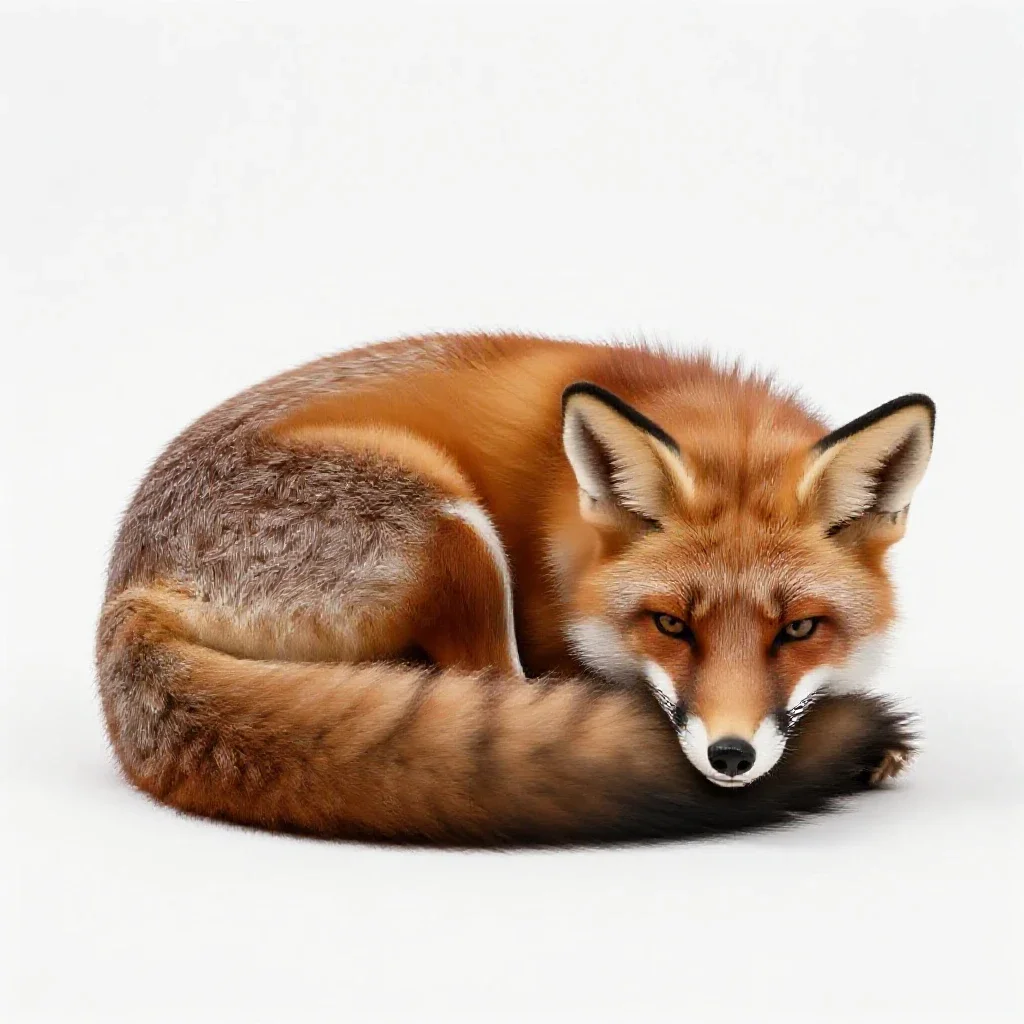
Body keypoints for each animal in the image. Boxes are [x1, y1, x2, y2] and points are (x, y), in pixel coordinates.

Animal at [97, 333, 933, 845]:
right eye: (670, 625)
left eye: (798, 630)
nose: (731, 756)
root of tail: (127, 586)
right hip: (450, 528)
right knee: (493, 683)